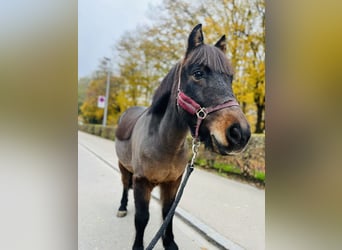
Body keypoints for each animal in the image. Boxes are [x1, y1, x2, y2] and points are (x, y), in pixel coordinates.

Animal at [115, 23, 251, 250]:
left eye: (230, 78)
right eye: (198, 73)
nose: (240, 133)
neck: (164, 144)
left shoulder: (173, 183)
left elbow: (167, 213)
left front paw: (169, 243)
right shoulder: (142, 182)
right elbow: (142, 218)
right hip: (123, 166)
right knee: (125, 185)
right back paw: (122, 207)